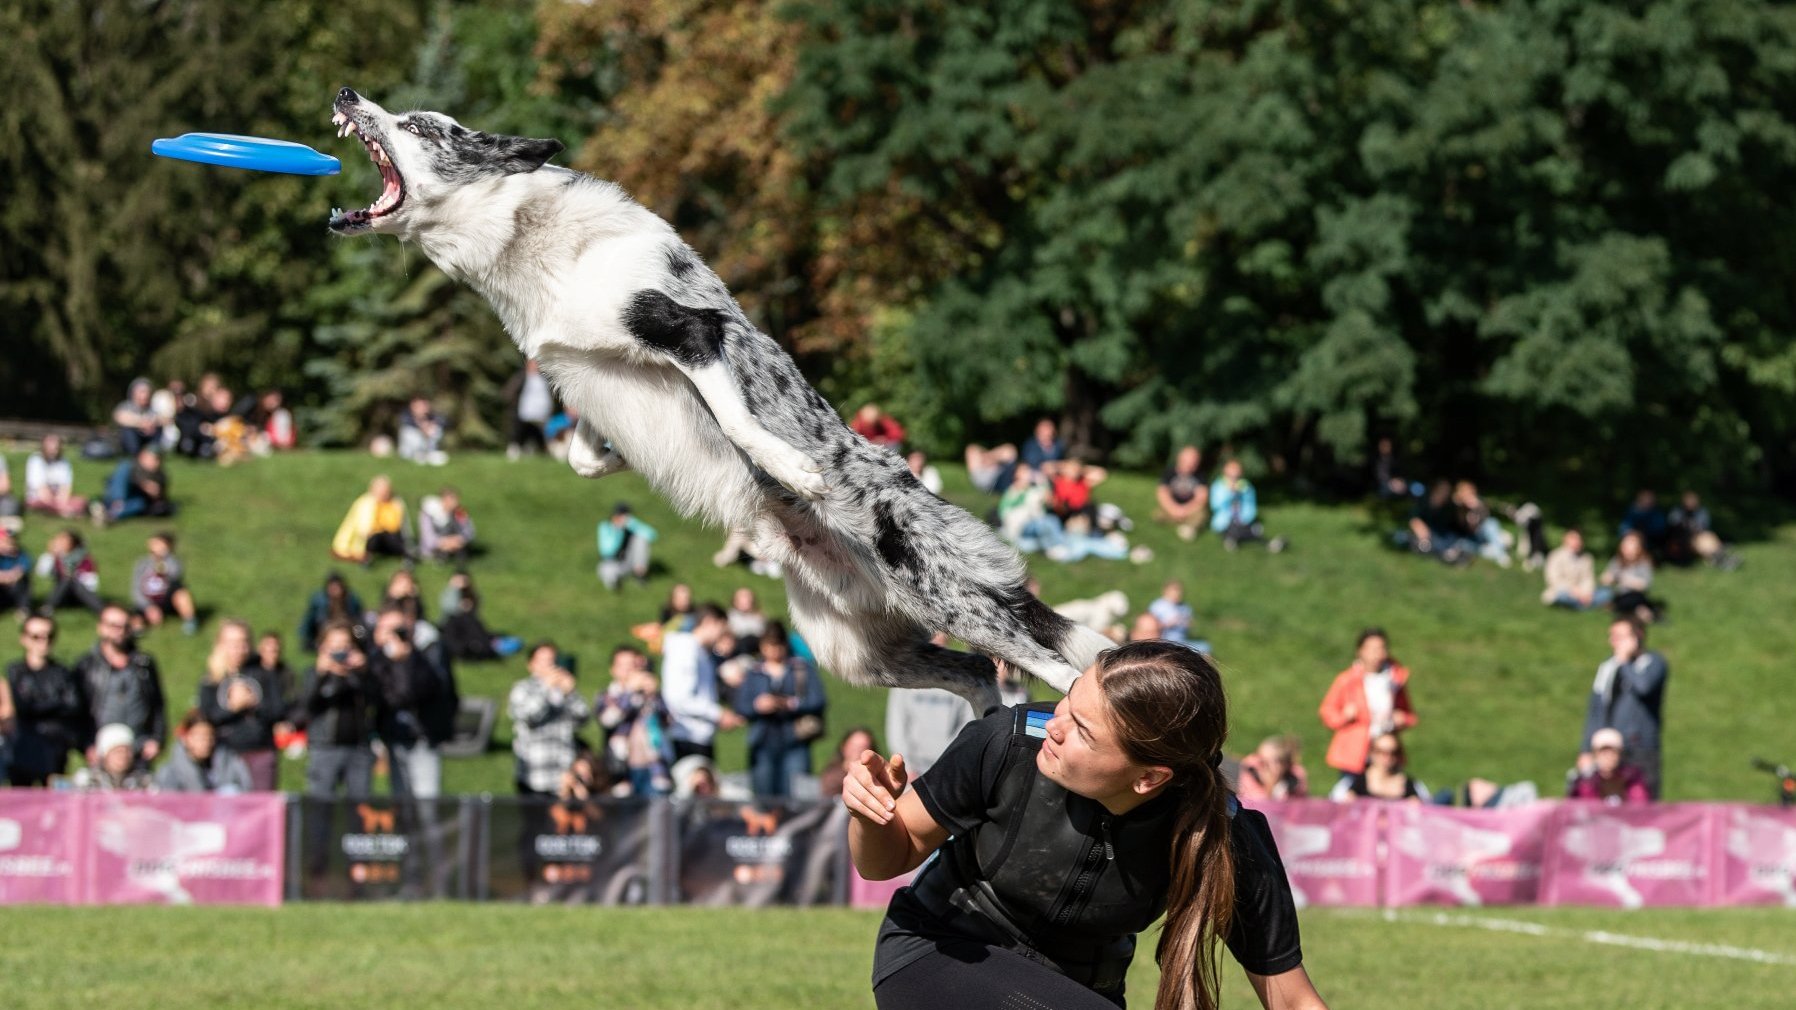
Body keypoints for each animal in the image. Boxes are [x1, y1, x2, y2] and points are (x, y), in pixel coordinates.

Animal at [323, 88, 1106, 708]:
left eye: (418, 124)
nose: (346, 93)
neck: (529, 245)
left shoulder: (691, 330)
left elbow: (734, 416)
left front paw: (794, 469)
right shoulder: (578, 373)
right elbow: (580, 455)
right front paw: (620, 463)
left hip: (948, 593)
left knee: (1054, 669)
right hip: (855, 651)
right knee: (976, 675)